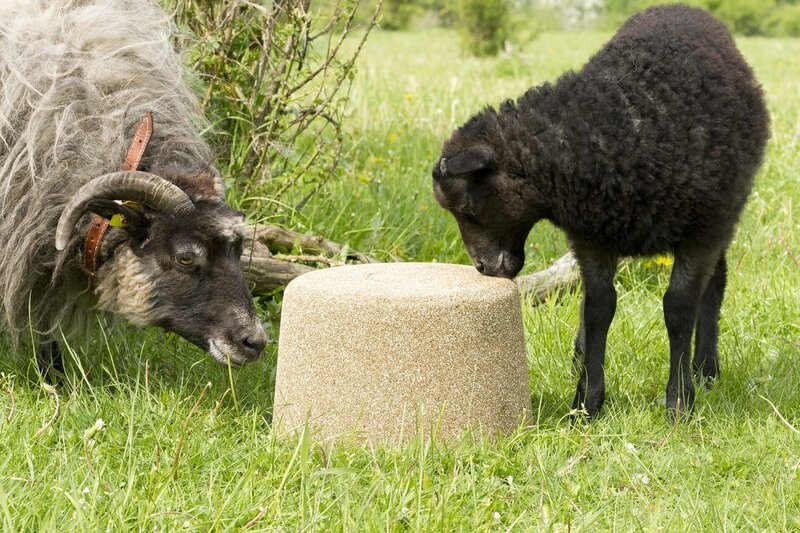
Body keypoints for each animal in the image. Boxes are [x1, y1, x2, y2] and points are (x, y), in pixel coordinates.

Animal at [433, 5, 770, 419]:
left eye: (467, 207)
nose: (482, 267)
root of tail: (681, 8)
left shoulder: (702, 232)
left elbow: (678, 309)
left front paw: (679, 401)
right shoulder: (591, 236)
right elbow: (598, 308)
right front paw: (586, 404)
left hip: (723, 216)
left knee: (714, 287)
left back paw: (706, 368)